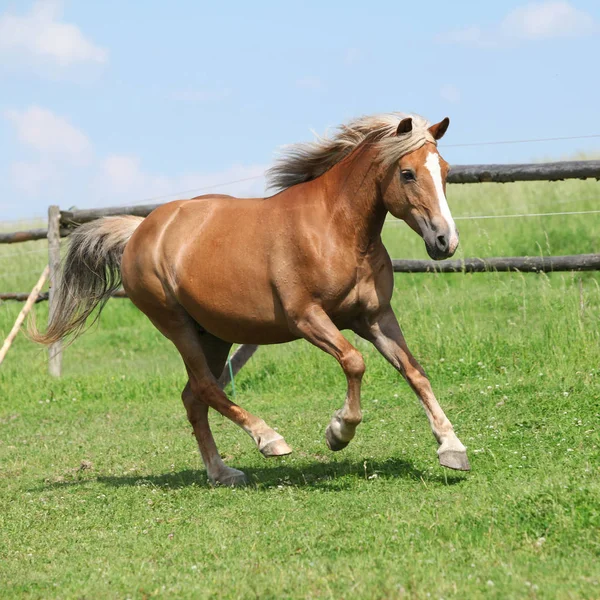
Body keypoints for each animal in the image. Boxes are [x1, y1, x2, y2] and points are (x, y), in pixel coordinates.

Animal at [35, 113, 472, 488]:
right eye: (407, 173)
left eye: (445, 171)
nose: (445, 242)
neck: (336, 230)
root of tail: (141, 230)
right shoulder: (307, 317)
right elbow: (354, 361)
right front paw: (338, 432)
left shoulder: (376, 317)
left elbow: (415, 371)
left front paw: (452, 448)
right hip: (176, 325)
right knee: (207, 389)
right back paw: (269, 440)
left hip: (214, 333)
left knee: (193, 397)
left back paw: (222, 472)